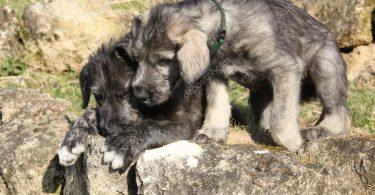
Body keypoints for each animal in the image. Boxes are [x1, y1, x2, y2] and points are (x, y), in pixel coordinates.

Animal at [58, 37, 209, 169]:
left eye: (126, 92)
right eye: (98, 96)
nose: (109, 131)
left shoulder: (184, 124)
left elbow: (150, 125)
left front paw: (121, 146)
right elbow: (89, 113)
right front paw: (71, 141)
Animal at [117, 0, 350, 152]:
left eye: (164, 61)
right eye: (136, 60)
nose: (138, 93)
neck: (226, 31)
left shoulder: (285, 68)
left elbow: (282, 116)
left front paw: (291, 142)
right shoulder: (215, 74)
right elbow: (217, 104)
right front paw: (212, 133)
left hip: (325, 67)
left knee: (340, 113)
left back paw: (319, 130)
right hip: (260, 95)